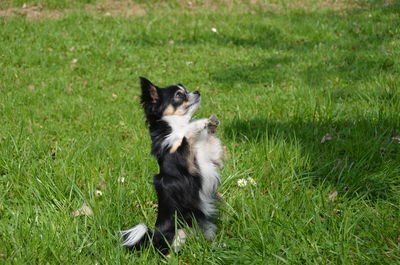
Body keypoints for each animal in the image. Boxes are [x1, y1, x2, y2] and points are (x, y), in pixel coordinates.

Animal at [120, 77, 223, 254]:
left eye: (186, 90)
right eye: (179, 95)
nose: (197, 92)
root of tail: (153, 238)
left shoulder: (208, 156)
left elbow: (211, 144)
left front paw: (211, 124)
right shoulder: (183, 159)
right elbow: (183, 135)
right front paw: (199, 123)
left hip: (205, 227)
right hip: (178, 233)